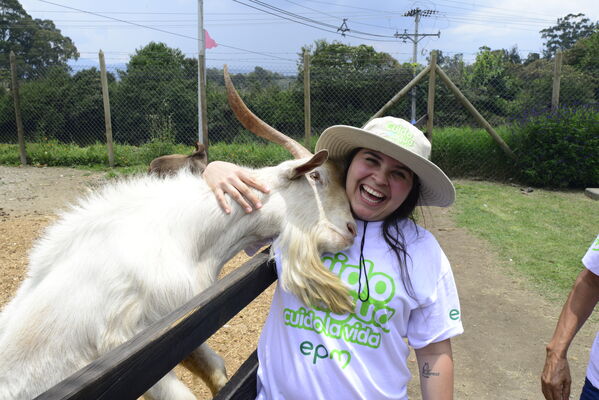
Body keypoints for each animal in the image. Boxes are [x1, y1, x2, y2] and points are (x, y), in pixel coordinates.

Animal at [0, 66, 356, 400]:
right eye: (316, 177)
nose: (351, 228)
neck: (179, 235)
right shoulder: (126, 345)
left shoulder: (180, 325)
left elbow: (216, 370)